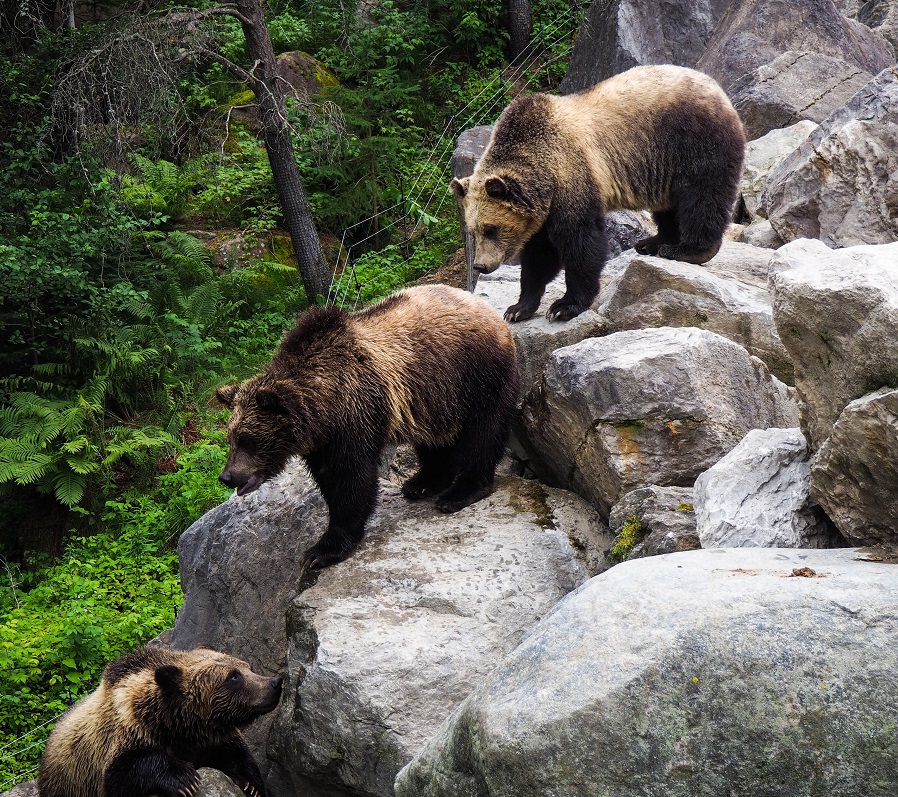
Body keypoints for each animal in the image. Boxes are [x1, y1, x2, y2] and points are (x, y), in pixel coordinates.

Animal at [37, 645, 282, 797]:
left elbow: (238, 754)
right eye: (233, 676)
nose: (275, 682)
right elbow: (124, 771)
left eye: (248, 667)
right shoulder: (118, 743)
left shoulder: (211, 739)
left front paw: (252, 784)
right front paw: (185, 779)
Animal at [215, 284, 520, 570]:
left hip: (475, 374)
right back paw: (423, 482)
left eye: (248, 439)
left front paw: (322, 550)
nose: (227, 476)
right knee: (435, 439)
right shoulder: (322, 442)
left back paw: (461, 492)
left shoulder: (355, 414)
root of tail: (486, 308)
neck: (323, 409)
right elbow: (328, 480)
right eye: (231, 438)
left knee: (483, 432)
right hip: (434, 397)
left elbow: (351, 480)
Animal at [450, 64, 746, 323]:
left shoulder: (572, 176)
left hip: (692, 142)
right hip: (663, 166)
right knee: (669, 206)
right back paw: (652, 243)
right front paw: (518, 308)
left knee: (702, 197)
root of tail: (717, 88)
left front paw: (564, 306)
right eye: (473, 231)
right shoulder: (542, 210)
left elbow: (581, 242)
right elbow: (539, 257)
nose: (480, 266)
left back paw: (687, 250)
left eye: (491, 229)